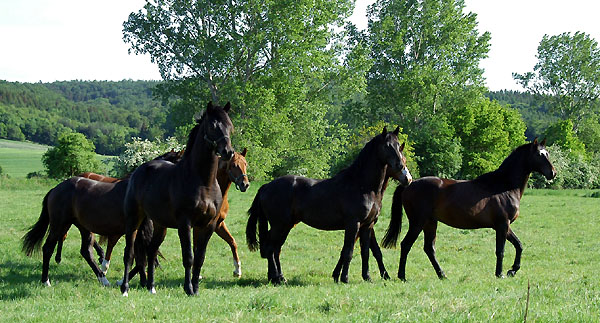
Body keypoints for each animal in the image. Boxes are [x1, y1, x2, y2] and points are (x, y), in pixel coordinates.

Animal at [21, 151, 183, 288]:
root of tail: (56, 189)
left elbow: (141, 256)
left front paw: (140, 281)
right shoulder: (137, 231)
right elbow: (139, 255)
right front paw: (133, 282)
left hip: (82, 227)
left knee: (86, 251)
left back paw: (103, 278)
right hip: (59, 224)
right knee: (48, 248)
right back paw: (46, 281)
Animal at [120, 101, 234, 296]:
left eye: (229, 125)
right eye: (213, 125)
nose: (228, 151)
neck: (203, 182)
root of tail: (139, 171)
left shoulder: (208, 225)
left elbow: (200, 258)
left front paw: (196, 289)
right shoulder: (185, 223)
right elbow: (188, 257)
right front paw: (188, 288)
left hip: (160, 225)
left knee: (151, 250)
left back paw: (151, 287)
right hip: (134, 219)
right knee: (129, 252)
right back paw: (125, 288)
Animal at [245, 128, 412, 284]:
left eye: (398, 145)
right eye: (387, 146)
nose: (402, 169)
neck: (362, 185)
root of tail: (266, 186)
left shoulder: (367, 226)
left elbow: (365, 252)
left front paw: (367, 277)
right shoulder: (353, 224)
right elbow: (348, 252)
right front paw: (344, 278)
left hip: (286, 225)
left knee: (276, 249)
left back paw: (279, 278)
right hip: (280, 225)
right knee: (270, 248)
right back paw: (276, 278)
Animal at [384, 139, 556, 280]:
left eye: (547, 153)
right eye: (540, 155)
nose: (553, 173)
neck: (504, 186)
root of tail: (409, 185)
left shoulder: (503, 226)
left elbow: (519, 245)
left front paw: (512, 270)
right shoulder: (502, 225)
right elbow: (500, 250)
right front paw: (500, 273)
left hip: (430, 223)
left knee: (429, 249)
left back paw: (442, 275)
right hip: (418, 222)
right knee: (406, 245)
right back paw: (402, 276)